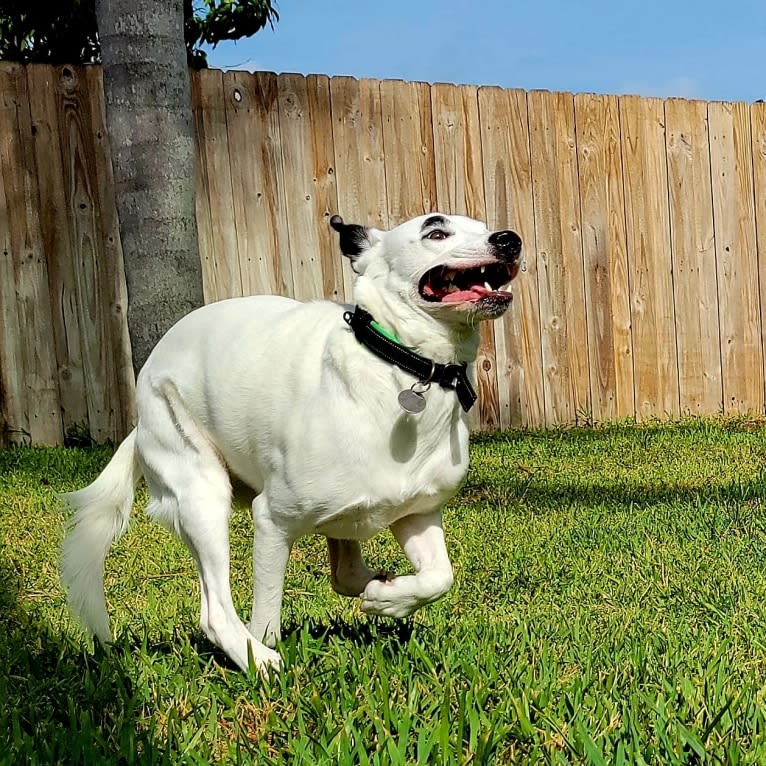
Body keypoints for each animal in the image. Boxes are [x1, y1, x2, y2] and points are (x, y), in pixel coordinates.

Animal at [63, 213, 524, 676]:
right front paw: (270, 650)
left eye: (483, 225)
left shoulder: (417, 513)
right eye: (435, 232)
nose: (509, 239)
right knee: (216, 612)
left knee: (345, 569)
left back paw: (374, 584)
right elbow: (266, 615)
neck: (402, 367)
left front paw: (390, 600)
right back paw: (259, 661)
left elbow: (439, 577)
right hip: (200, 493)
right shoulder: (272, 519)